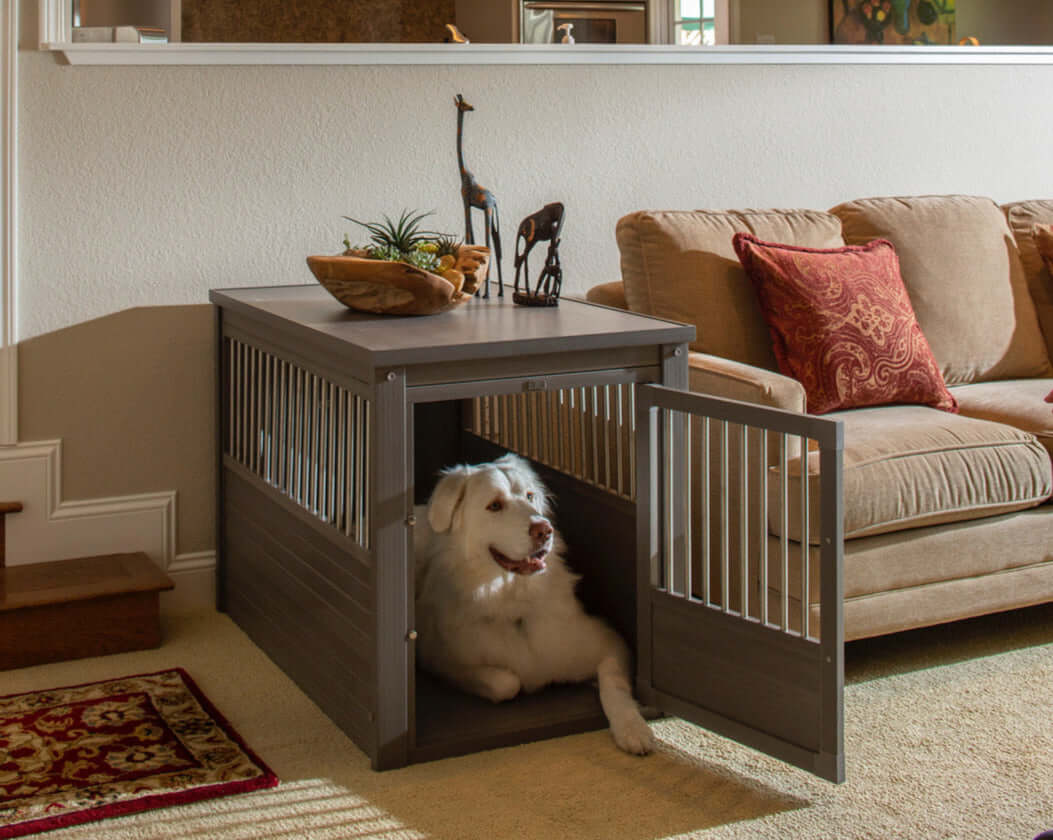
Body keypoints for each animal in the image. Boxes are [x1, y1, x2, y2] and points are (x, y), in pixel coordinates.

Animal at [412, 454, 652, 757]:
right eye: (494, 505)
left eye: (529, 496)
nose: (544, 530)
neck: (513, 598)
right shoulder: (437, 657)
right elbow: (506, 683)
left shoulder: (611, 644)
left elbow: (614, 685)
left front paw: (632, 728)